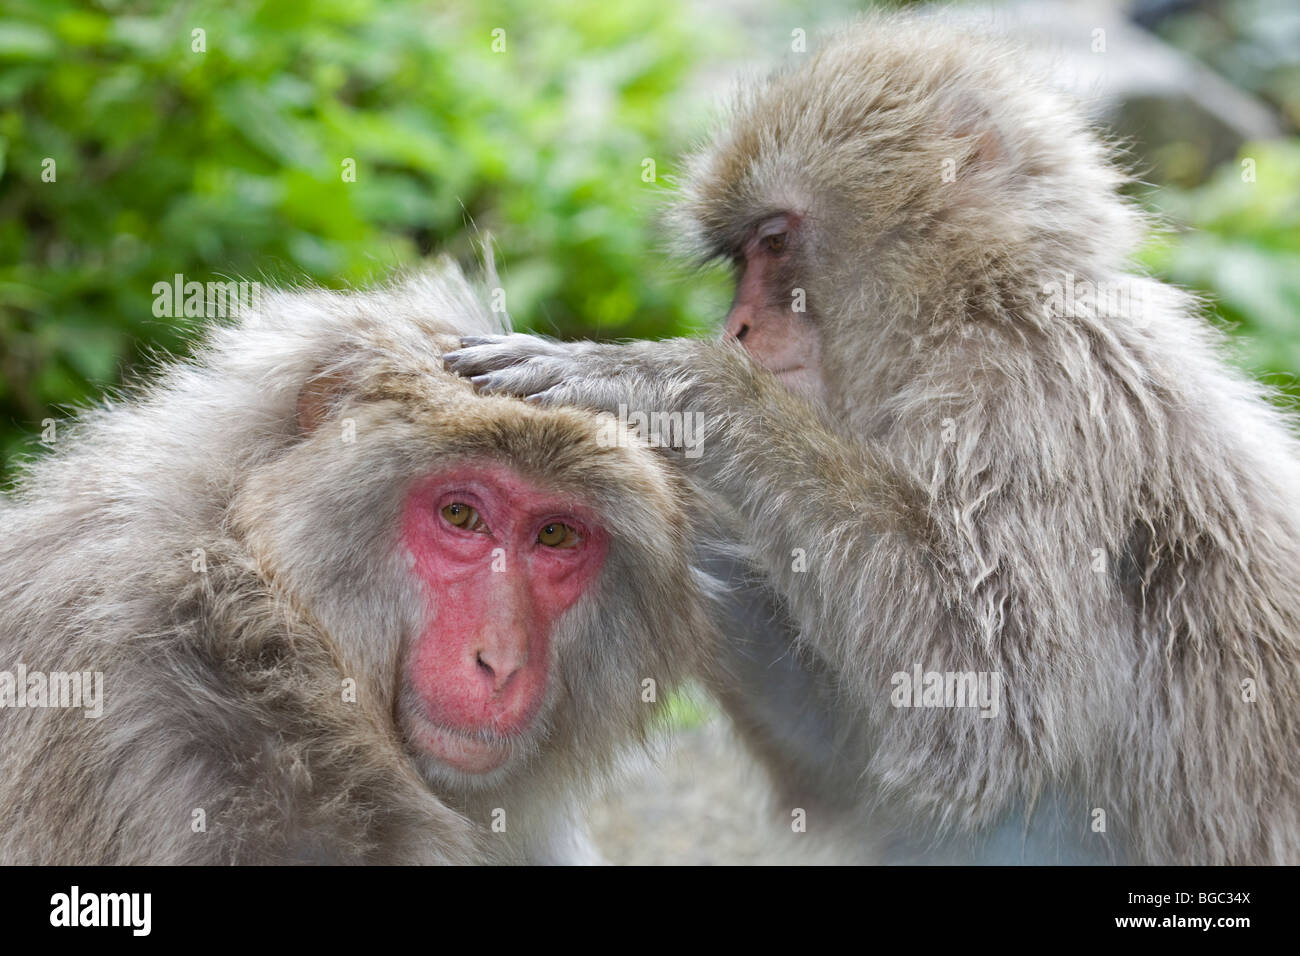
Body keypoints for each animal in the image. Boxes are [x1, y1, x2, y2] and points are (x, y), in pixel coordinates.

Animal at [447, 14, 1300, 868]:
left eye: (774, 242)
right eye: (741, 258)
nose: (737, 327)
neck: (972, 314)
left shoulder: (1037, 411)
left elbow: (986, 704)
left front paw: (672, 387)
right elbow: (856, 770)